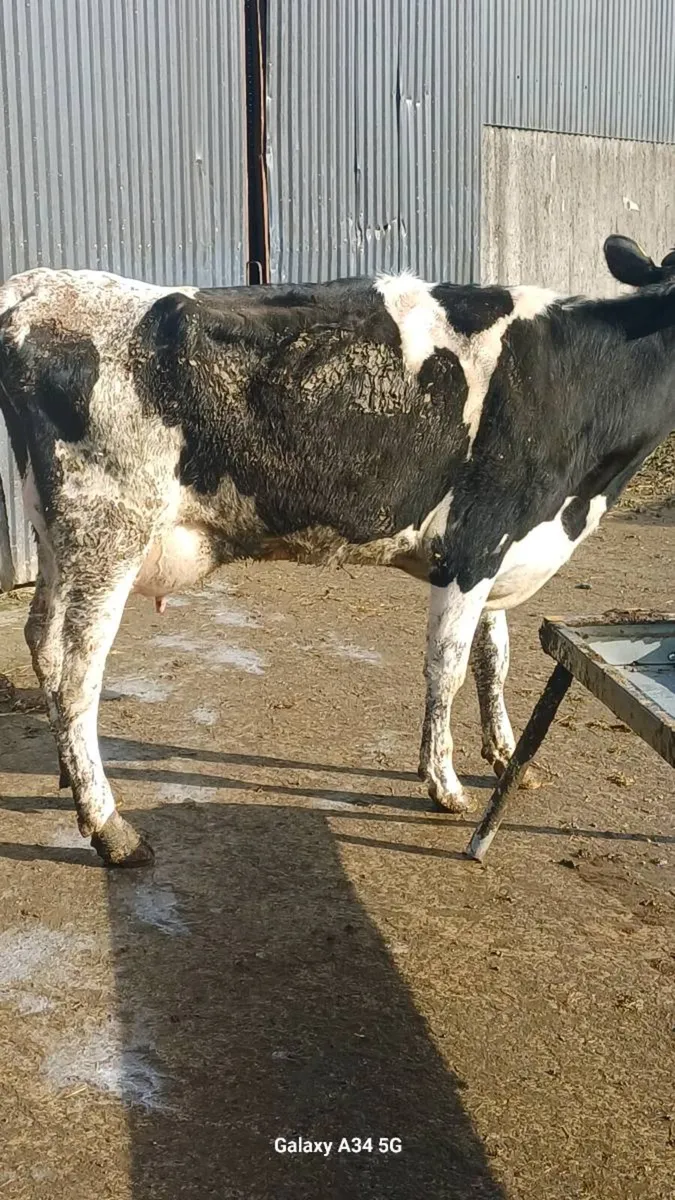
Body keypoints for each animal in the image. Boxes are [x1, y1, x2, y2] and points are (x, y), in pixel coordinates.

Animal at [0, 236, 673, 866]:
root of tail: (35, 287)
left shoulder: (501, 548)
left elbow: (494, 660)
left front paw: (507, 756)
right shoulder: (473, 543)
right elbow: (448, 669)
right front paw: (445, 784)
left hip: (57, 533)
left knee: (42, 642)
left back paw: (69, 777)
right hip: (108, 530)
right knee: (77, 674)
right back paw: (110, 828)